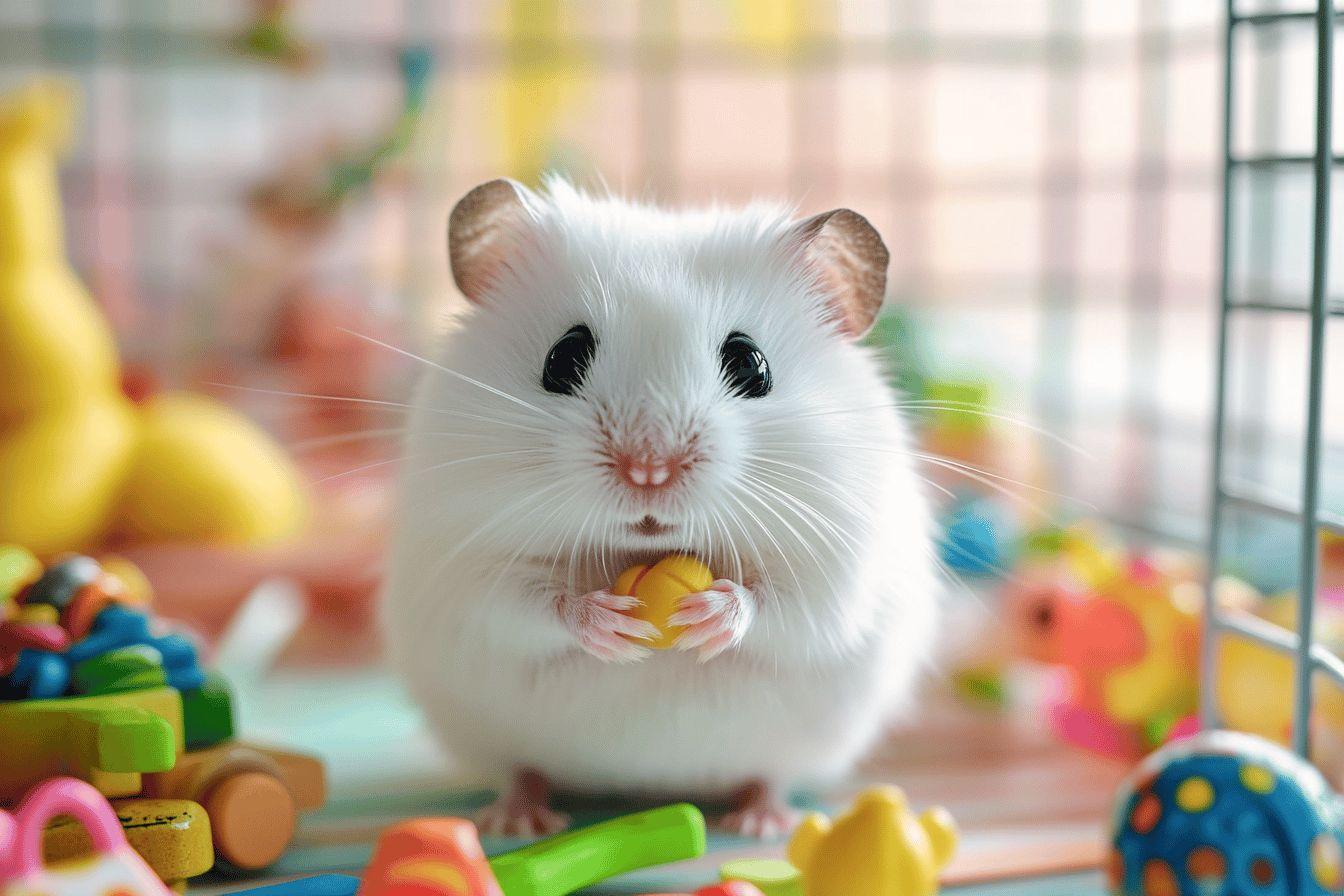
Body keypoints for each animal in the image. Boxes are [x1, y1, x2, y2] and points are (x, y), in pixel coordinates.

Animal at [382, 177, 939, 838]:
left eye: (751, 364)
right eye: (561, 358)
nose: (648, 470)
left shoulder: (841, 567)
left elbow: (785, 606)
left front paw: (709, 614)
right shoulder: (466, 563)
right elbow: (525, 603)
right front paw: (610, 621)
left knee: (769, 773)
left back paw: (762, 822)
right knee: (522, 769)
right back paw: (517, 821)